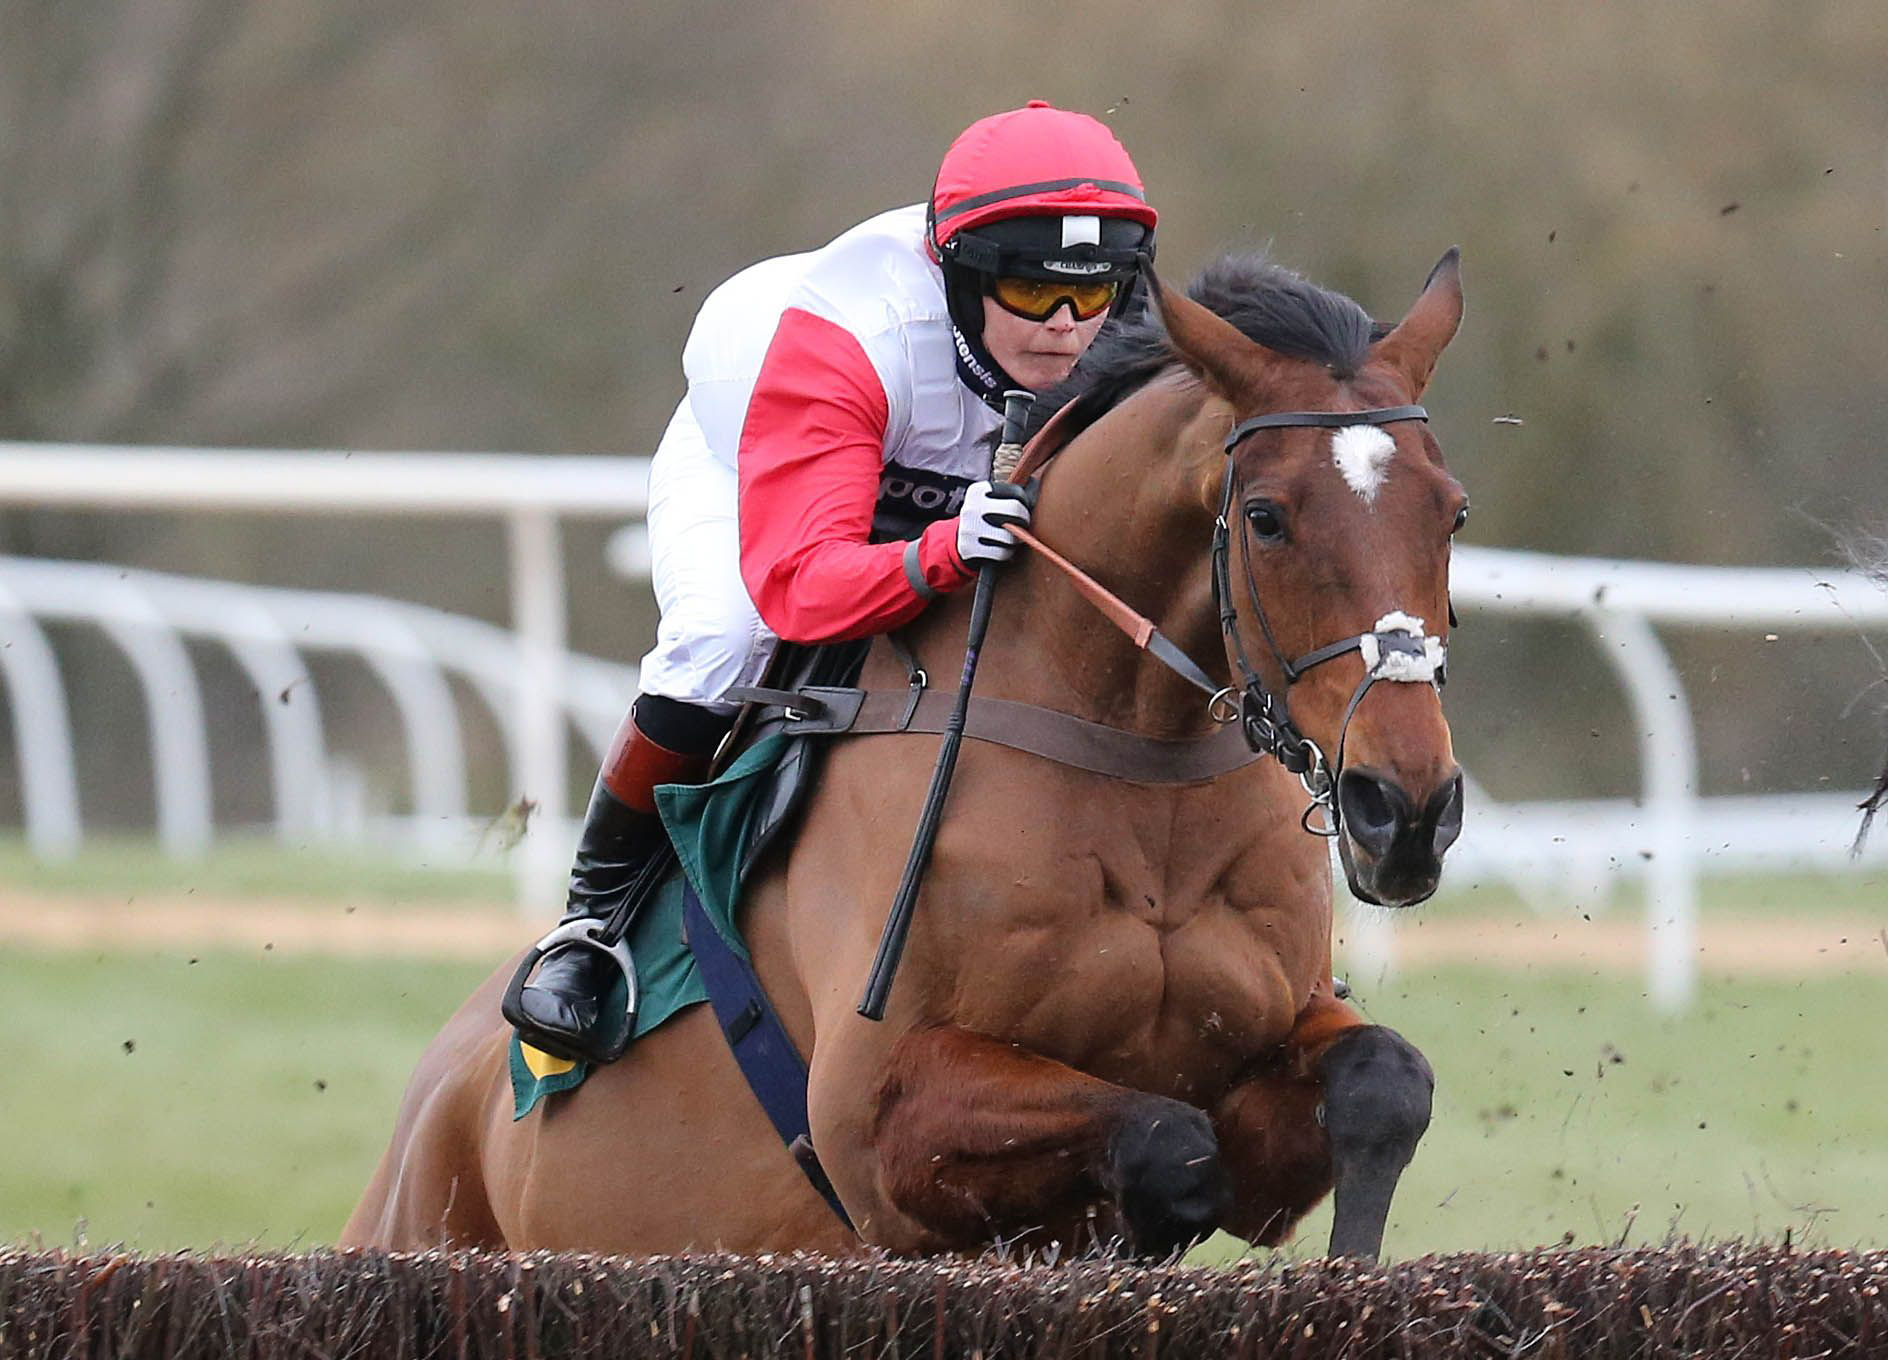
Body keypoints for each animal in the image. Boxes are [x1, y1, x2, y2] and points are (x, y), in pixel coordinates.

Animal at [343, 248, 1467, 1262]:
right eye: (1265, 518)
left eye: (1451, 511)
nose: (1405, 809)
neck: (1133, 753)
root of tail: (438, 1092)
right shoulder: (873, 1117)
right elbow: (1164, 1142)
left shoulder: (1270, 1065)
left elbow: (1385, 1084)